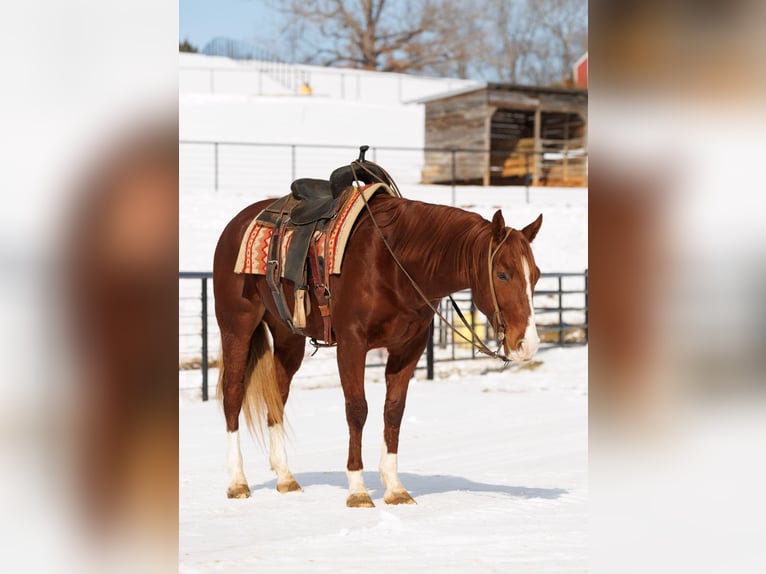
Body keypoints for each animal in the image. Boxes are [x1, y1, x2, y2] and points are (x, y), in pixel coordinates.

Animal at [213, 188, 543, 507]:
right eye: (502, 273)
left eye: (536, 275)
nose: (527, 344)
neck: (395, 262)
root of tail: (236, 224)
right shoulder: (352, 345)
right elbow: (357, 410)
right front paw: (358, 490)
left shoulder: (408, 348)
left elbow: (393, 411)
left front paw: (395, 488)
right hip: (237, 328)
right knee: (233, 395)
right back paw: (237, 482)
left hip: (288, 337)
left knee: (277, 396)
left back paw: (285, 477)